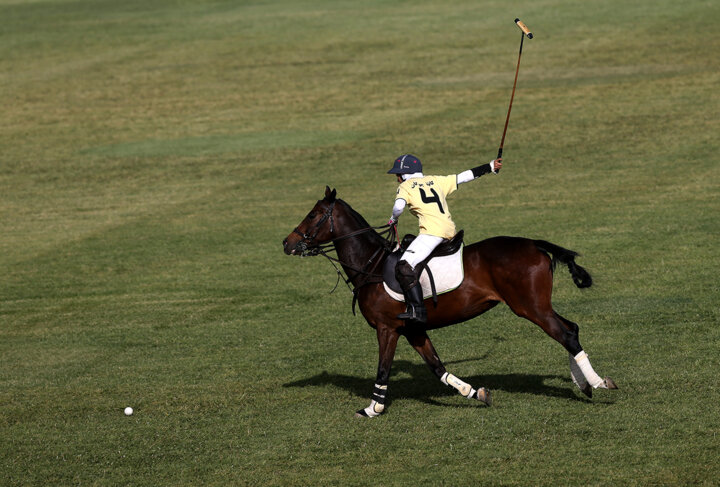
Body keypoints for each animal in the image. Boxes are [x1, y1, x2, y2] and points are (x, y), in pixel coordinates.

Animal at [284, 189, 616, 418]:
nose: (287, 243)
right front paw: (476, 392)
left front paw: (372, 409)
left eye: (313, 214)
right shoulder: (413, 330)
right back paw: (584, 385)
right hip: (539, 306)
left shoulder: (387, 328)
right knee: (571, 328)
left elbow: (383, 369)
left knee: (566, 334)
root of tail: (534, 244)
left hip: (531, 308)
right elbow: (437, 367)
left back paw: (598, 383)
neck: (372, 265)